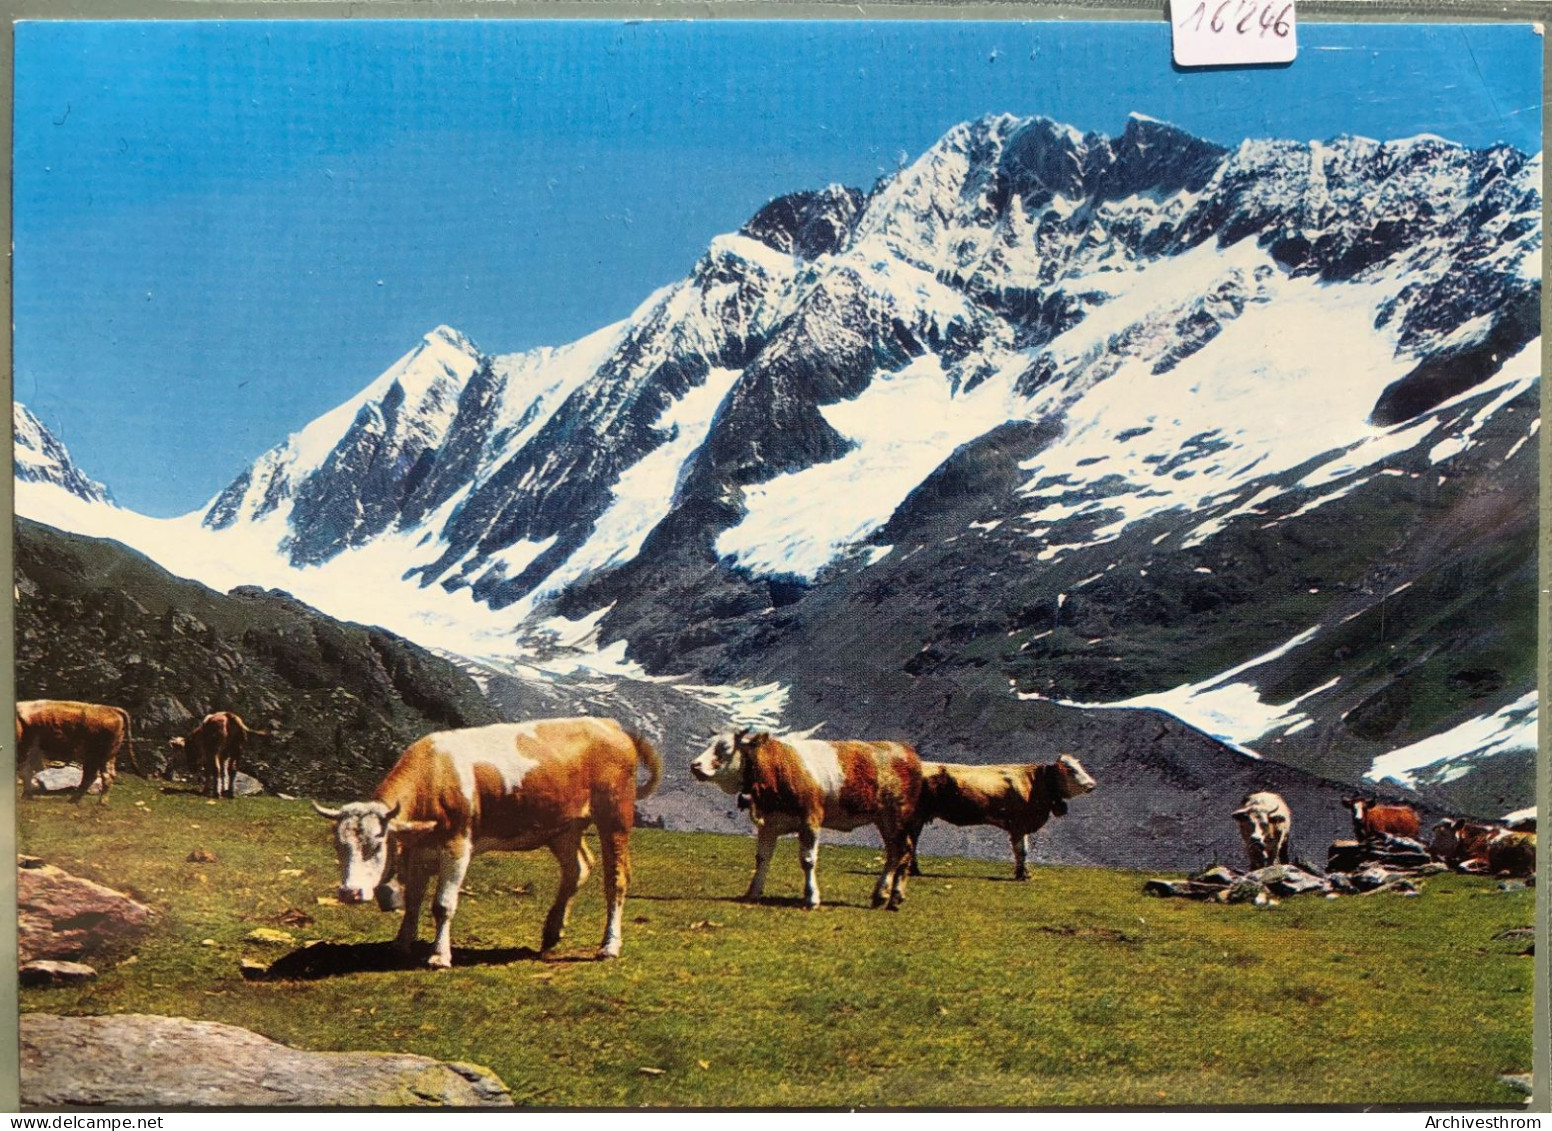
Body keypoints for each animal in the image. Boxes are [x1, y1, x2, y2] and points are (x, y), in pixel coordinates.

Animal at [311, 719, 658, 968]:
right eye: (339, 847)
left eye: (376, 845)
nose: (349, 892)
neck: (434, 775)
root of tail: (609, 724)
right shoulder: (421, 850)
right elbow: (413, 900)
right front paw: (401, 944)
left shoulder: (457, 846)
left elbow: (442, 904)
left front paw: (439, 956)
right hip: (563, 828)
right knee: (578, 868)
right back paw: (551, 932)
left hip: (614, 817)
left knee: (616, 880)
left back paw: (609, 945)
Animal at [692, 732, 918, 906]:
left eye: (725, 747)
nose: (695, 765)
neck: (777, 767)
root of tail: (905, 750)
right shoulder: (769, 824)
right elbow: (762, 858)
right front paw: (752, 892)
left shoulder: (810, 820)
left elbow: (808, 860)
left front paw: (811, 897)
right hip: (884, 820)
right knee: (897, 852)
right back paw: (889, 896)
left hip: (895, 817)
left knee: (901, 851)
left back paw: (888, 894)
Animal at [906, 754, 1098, 875]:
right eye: (1072, 770)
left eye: (1080, 766)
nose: (1092, 784)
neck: (1036, 784)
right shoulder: (1019, 824)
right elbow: (1021, 850)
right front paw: (1022, 875)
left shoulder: (1022, 826)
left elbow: (1023, 851)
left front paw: (1023, 873)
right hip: (916, 816)